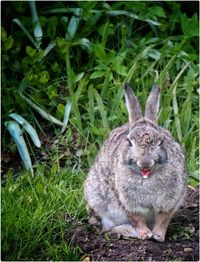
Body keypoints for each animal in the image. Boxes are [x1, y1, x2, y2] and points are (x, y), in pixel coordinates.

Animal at [83, 84, 187, 242]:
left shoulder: (171, 199)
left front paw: (158, 236)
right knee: (106, 229)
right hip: (97, 201)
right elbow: (136, 218)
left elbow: (163, 218)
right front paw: (145, 234)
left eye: (161, 141)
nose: (145, 162)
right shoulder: (127, 201)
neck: (146, 176)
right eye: (129, 142)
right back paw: (128, 231)